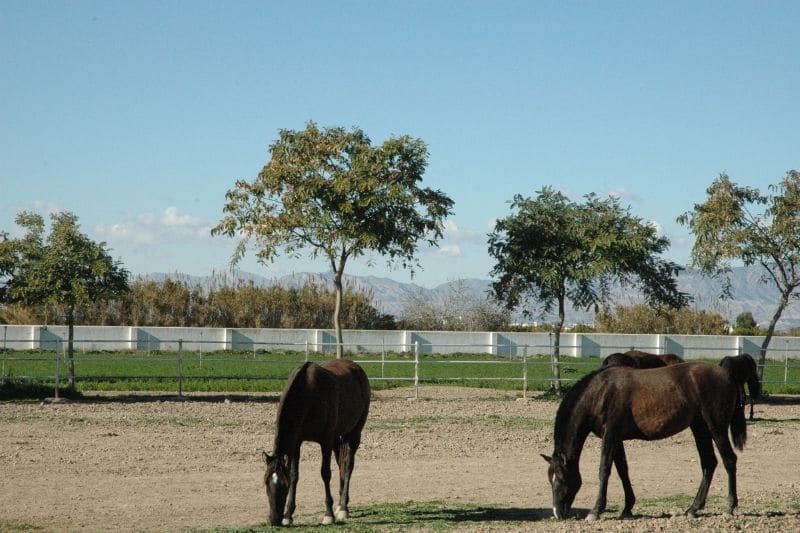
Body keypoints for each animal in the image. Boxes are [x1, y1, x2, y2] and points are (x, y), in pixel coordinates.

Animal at [266, 358, 372, 524]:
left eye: (284, 485)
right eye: (265, 482)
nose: (274, 520)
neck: (308, 395)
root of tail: (355, 367)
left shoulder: (326, 442)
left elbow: (325, 473)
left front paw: (328, 514)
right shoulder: (297, 443)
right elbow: (295, 475)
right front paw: (288, 515)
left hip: (354, 433)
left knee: (348, 465)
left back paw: (343, 508)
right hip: (339, 438)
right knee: (341, 464)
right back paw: (341, 503)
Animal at [540, 362, 748, 520]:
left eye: (560, 478)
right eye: (550, 479)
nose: (558, 513)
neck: (600, 392)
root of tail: (726, 374)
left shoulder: (611, 435)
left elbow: (604, 470)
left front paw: (596, 510)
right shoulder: (617, 439)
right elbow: (623, 470)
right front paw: (627, 508)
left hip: (716, 427)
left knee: (729, 460)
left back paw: (729, 506)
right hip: (700, 428)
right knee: (709, 463)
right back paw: (693, 508)